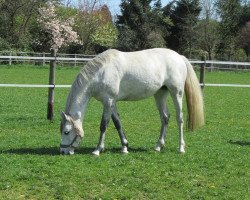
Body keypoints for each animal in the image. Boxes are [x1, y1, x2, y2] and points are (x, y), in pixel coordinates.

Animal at [59, 48, 204, 155]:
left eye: (66, 131)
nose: (63, 151)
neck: (102, 72)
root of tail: (179, 57)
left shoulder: (108, 101)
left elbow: (104, 125)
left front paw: (97, 149)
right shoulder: (112, 102)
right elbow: (117, 123)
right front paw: (124, 147)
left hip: (176, 92)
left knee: (179, 118)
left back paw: (181, 148)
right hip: (160, 94)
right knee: (165, 117)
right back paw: (158, 146)